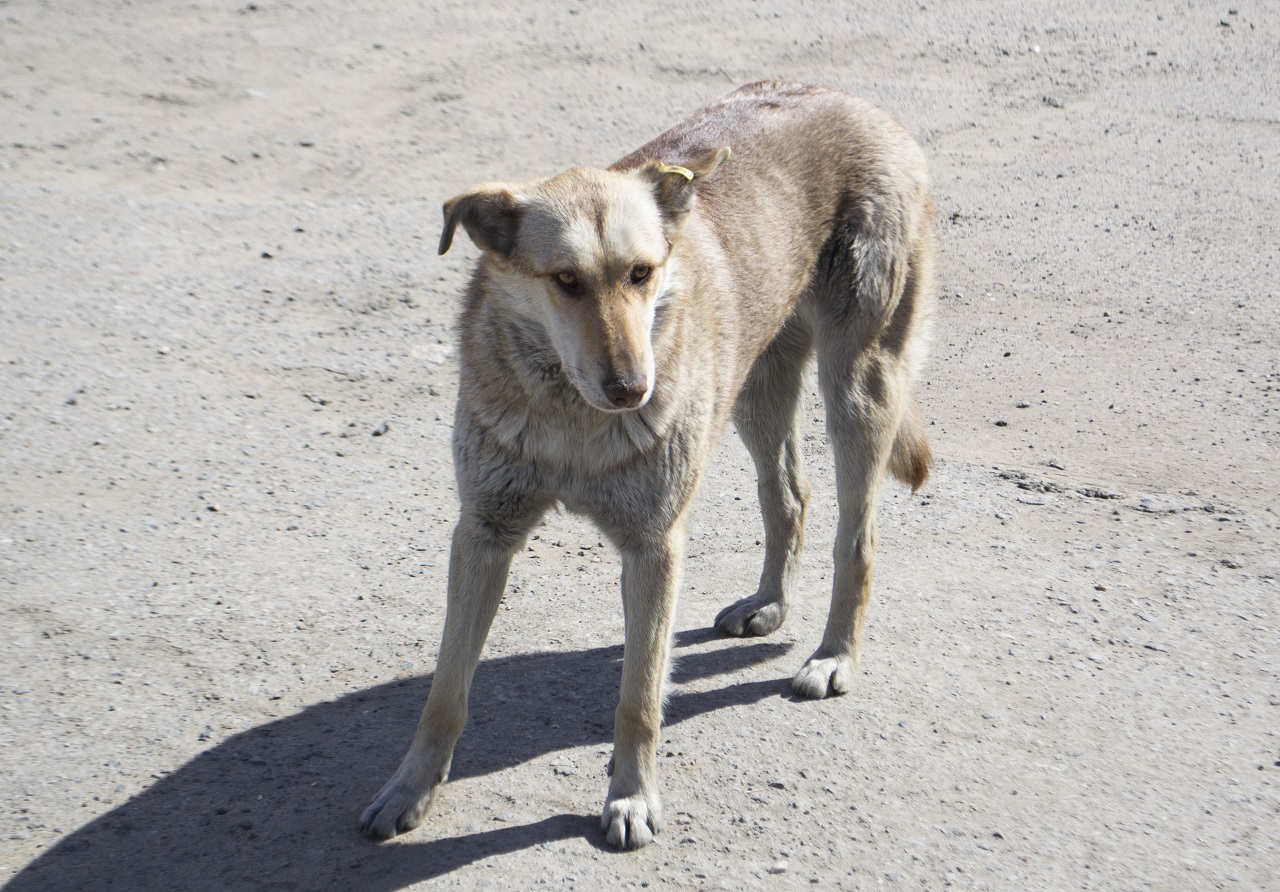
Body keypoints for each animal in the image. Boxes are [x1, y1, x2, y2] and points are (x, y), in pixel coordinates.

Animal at [360, 81, 942, 849]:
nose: (634, 388)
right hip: (758, 388)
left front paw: (631, 798)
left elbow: (638, 696)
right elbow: (444, 690)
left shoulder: (653, 547)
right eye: (566, 281)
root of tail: (857, 99)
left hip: (857, 386)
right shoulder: (483, 533)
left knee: (858, 538)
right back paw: (769, 603)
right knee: (788, 495)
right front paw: (409, 788)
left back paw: (834, 655)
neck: (573, 417)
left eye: (643, 273)